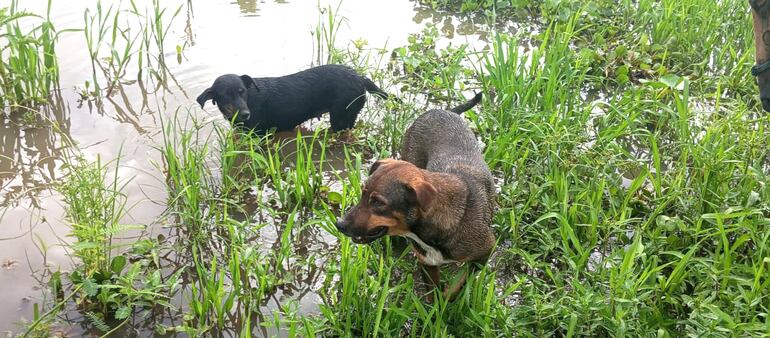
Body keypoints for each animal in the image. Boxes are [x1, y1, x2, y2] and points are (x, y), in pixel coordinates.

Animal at [195, 64, 388, 133]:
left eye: (242, 91)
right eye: (225, 95)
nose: (245, 114)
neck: (250, 100)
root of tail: (360, 77)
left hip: (339, 119)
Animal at [334, 92, 492, 298]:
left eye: (378, 203)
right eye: (363, 194)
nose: (339, 224)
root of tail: (441, 110)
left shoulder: (484, 252)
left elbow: (456, 287)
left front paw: (449, 299)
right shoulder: (428, 264)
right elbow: (433, 296)